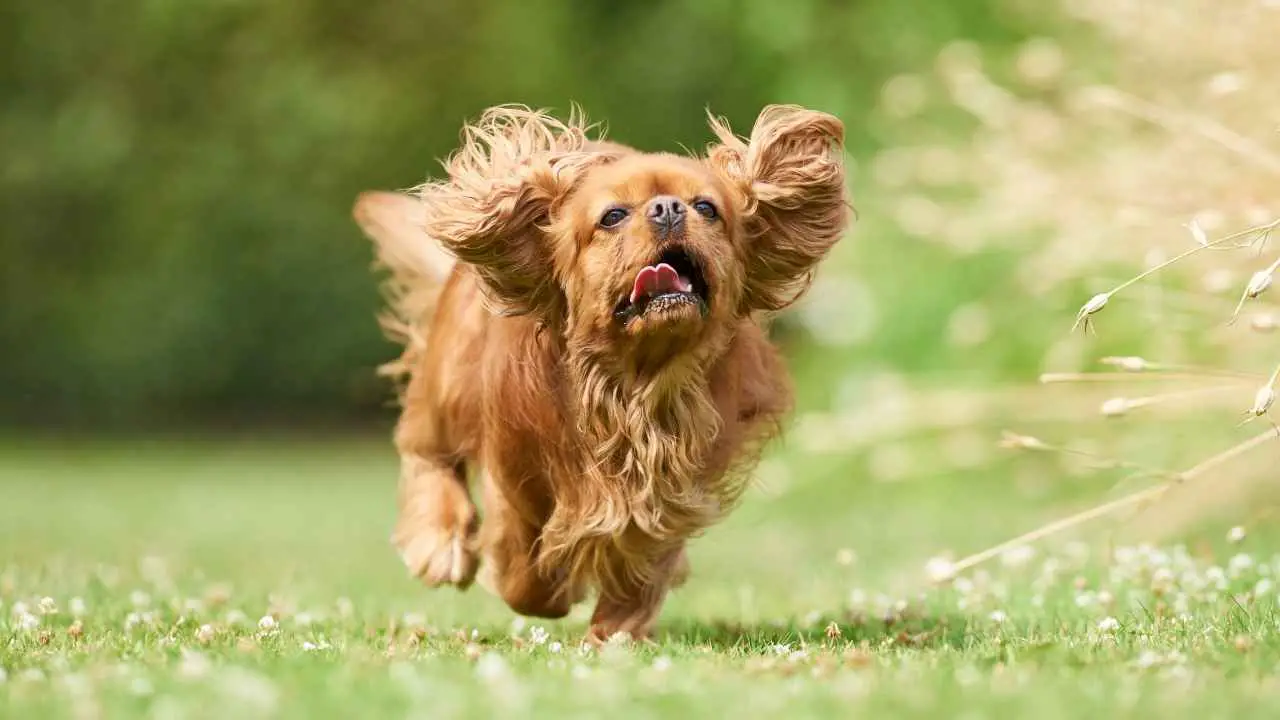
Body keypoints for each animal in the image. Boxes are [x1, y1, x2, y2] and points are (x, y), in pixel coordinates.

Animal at [350, 105, 849, 638]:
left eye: (707, 208)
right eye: (612, 216)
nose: (668, 208)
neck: (631, 384)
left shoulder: (672, 489)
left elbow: (645, 556)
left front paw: (618, 628)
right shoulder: (515, 473)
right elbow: (522, 560)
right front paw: (545, 590)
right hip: (450, 385)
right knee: (425, 450)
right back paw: (442, 543)